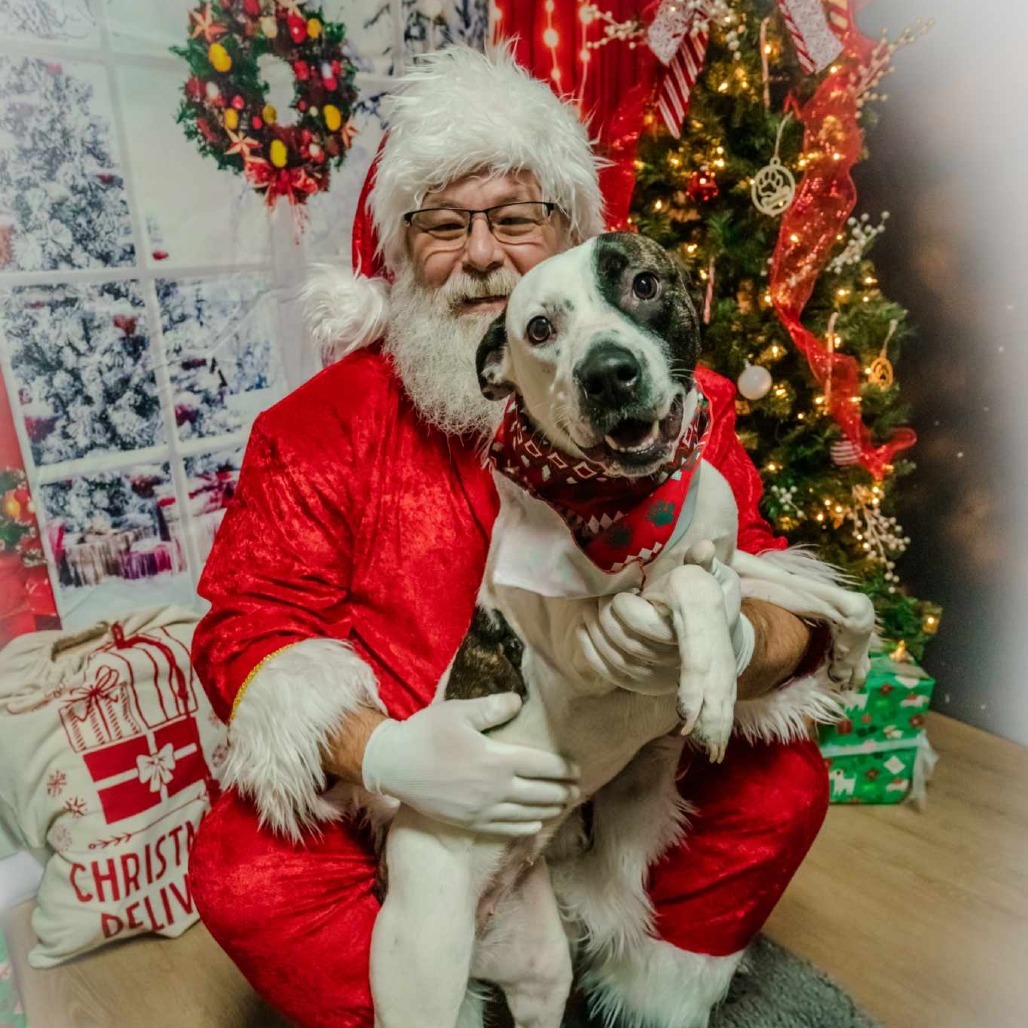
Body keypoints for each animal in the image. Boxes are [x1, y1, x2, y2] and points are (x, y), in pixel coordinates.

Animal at [365, 233, 871, 1028]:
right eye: (540, 328)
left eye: (644, 283)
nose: (607, 374)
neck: (633, 503)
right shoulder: (589, 641)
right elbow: (688, 589)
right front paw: (712, 693)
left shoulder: (726, 560)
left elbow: (797, 586)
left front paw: (849, 649)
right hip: (423, 979)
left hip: (541, 968)